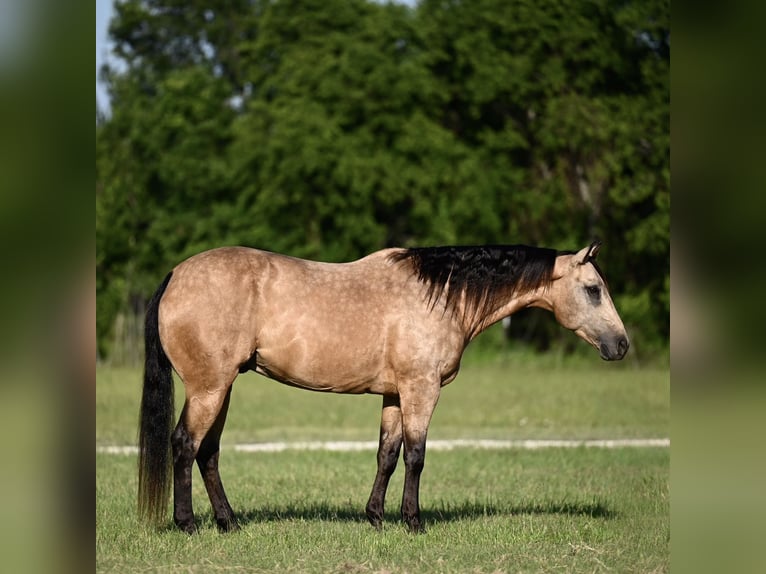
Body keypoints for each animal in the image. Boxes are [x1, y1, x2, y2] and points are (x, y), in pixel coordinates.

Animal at [138, 241, 629, 534]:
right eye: (593, 289)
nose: (621, 344)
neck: (440, 297)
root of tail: (176, 275)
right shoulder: (421, 389)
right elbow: (416, 456)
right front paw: (413, 521)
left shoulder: (395, 394)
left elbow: (387, 455)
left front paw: (374, 518)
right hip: (208, 388)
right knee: (184, 444)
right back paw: (187, 524)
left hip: (222, 389)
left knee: (207, 452)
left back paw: (229, 522)